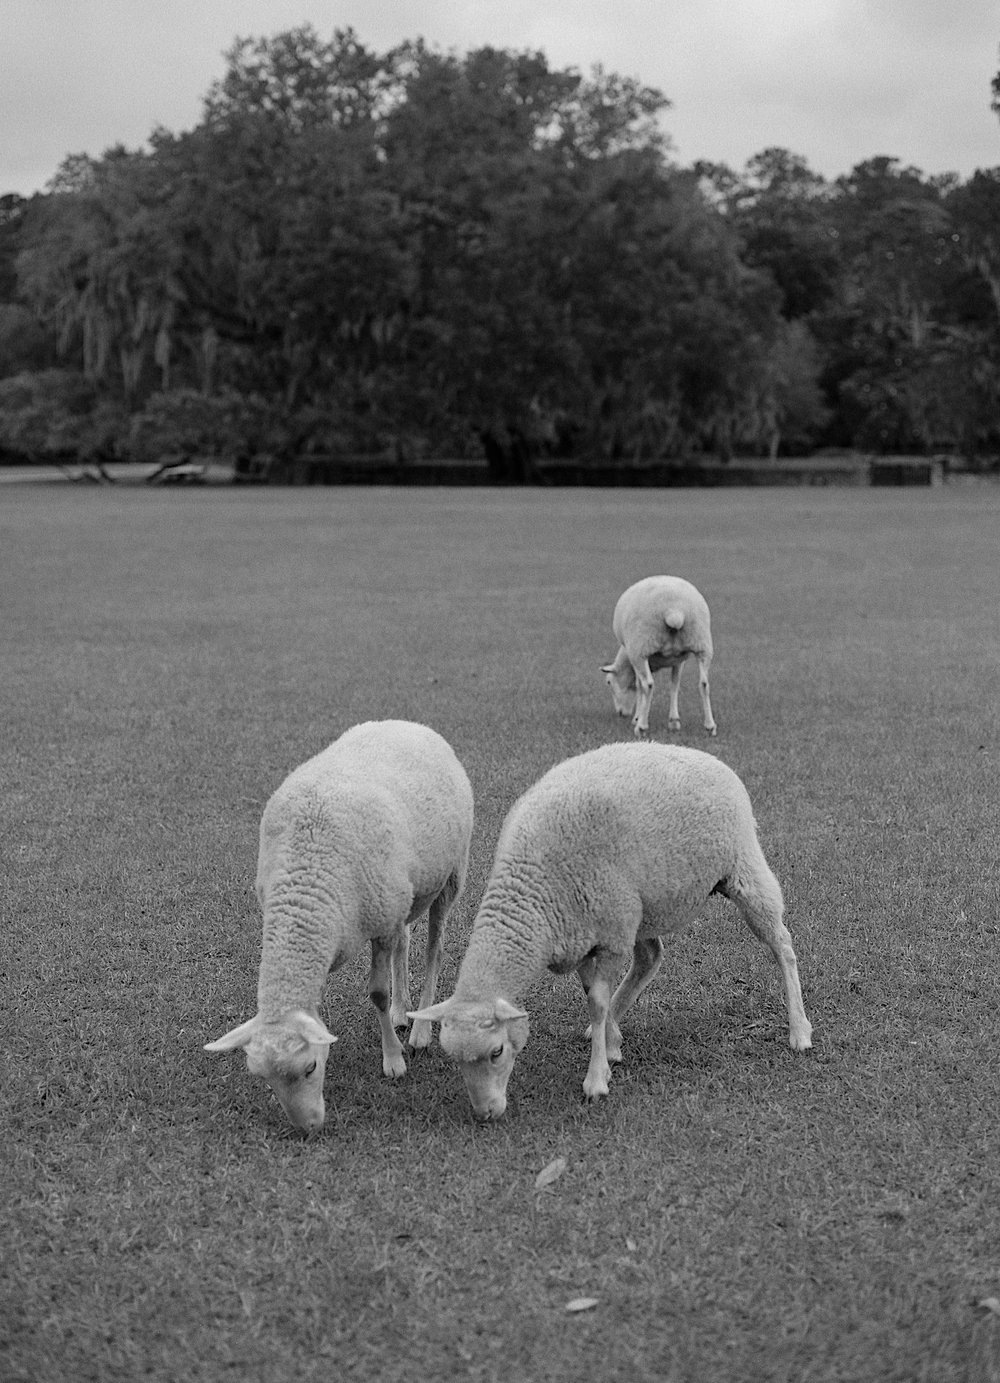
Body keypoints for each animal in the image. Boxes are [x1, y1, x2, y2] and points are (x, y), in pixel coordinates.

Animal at [204, 719, 475, 1128]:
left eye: (311, 1068)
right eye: (265, 1079)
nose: (308, 1129)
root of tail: (407, 723)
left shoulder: (379, 923)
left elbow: (377, 993)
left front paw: (393, 1061)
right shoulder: (374, 917)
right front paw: (393, 1027)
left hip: (449, 875)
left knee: (434, 950)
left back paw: (420, 1031)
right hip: (404, 893)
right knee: (405, 942)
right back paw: (401, 1011)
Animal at [414, 741, 813, 1117]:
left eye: (497, 1051)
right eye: (455, 1059)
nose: (485, 1114)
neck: (532, 890)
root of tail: (709, 759)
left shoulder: (610, 936)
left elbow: (597, 1002)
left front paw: (596, 1079)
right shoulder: (580, 936)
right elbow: (593, 995)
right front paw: (610, 1044)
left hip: (742, 868)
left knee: (782, 945)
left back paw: (799, 1030)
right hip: (643, 909)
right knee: (650, 957)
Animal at [603, 575, 719, 741]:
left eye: (609, 682)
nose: (621, 714)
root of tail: (673, 610)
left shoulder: (635, 658)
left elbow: (639, 686)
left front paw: (637, 717)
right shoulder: (679, 660)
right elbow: (675, 685)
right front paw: (674, 721)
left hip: (641, 646)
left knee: (648, 684)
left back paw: (641, 727)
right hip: (702, 643)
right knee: (704, 683)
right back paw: (710, 726)